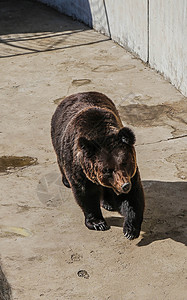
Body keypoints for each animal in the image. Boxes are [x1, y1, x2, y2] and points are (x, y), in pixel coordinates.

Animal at [51, 91, 145, 239]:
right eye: (107, 169)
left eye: (124, 162)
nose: (124, 186)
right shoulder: (79, 169)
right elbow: (85, 194)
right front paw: (98, 223)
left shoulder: (131, 174)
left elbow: (132, 198)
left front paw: (130, 229)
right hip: (57, 139)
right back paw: (66, 181)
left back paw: (108, 203)